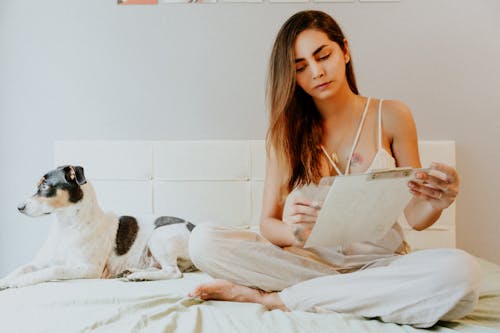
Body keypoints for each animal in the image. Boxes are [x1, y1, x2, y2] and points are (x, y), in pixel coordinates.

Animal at [0, 165, 195, 290]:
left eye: (45, 186)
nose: (19, 207)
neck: (67, 227)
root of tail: (194, 227)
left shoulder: (88, 268)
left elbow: (55, 269)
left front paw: (21, 281)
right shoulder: (41, 262)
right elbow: (22, 267)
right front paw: (5, 281)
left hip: (159, 236)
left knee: (173, 272)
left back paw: (139, 276)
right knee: (161, 268)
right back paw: (131, 272)